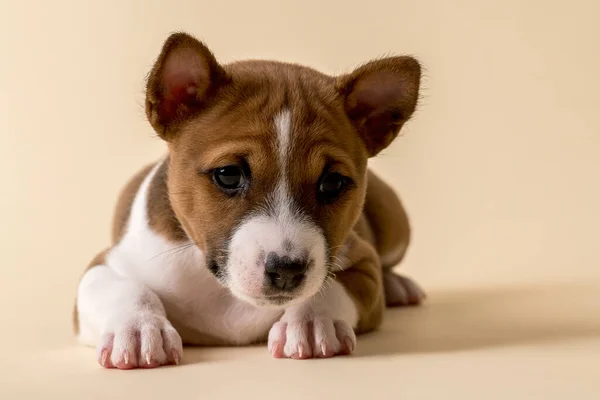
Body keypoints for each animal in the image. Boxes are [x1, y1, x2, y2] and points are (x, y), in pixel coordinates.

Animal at [72, 32, 424, 370]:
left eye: (333, 183)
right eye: (228, 175)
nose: (287, 271)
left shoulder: (364, 265)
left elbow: (334, 286)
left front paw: (313, 320)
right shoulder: (107, 264)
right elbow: (123, 288)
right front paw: (138, 328)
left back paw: (398, 285)